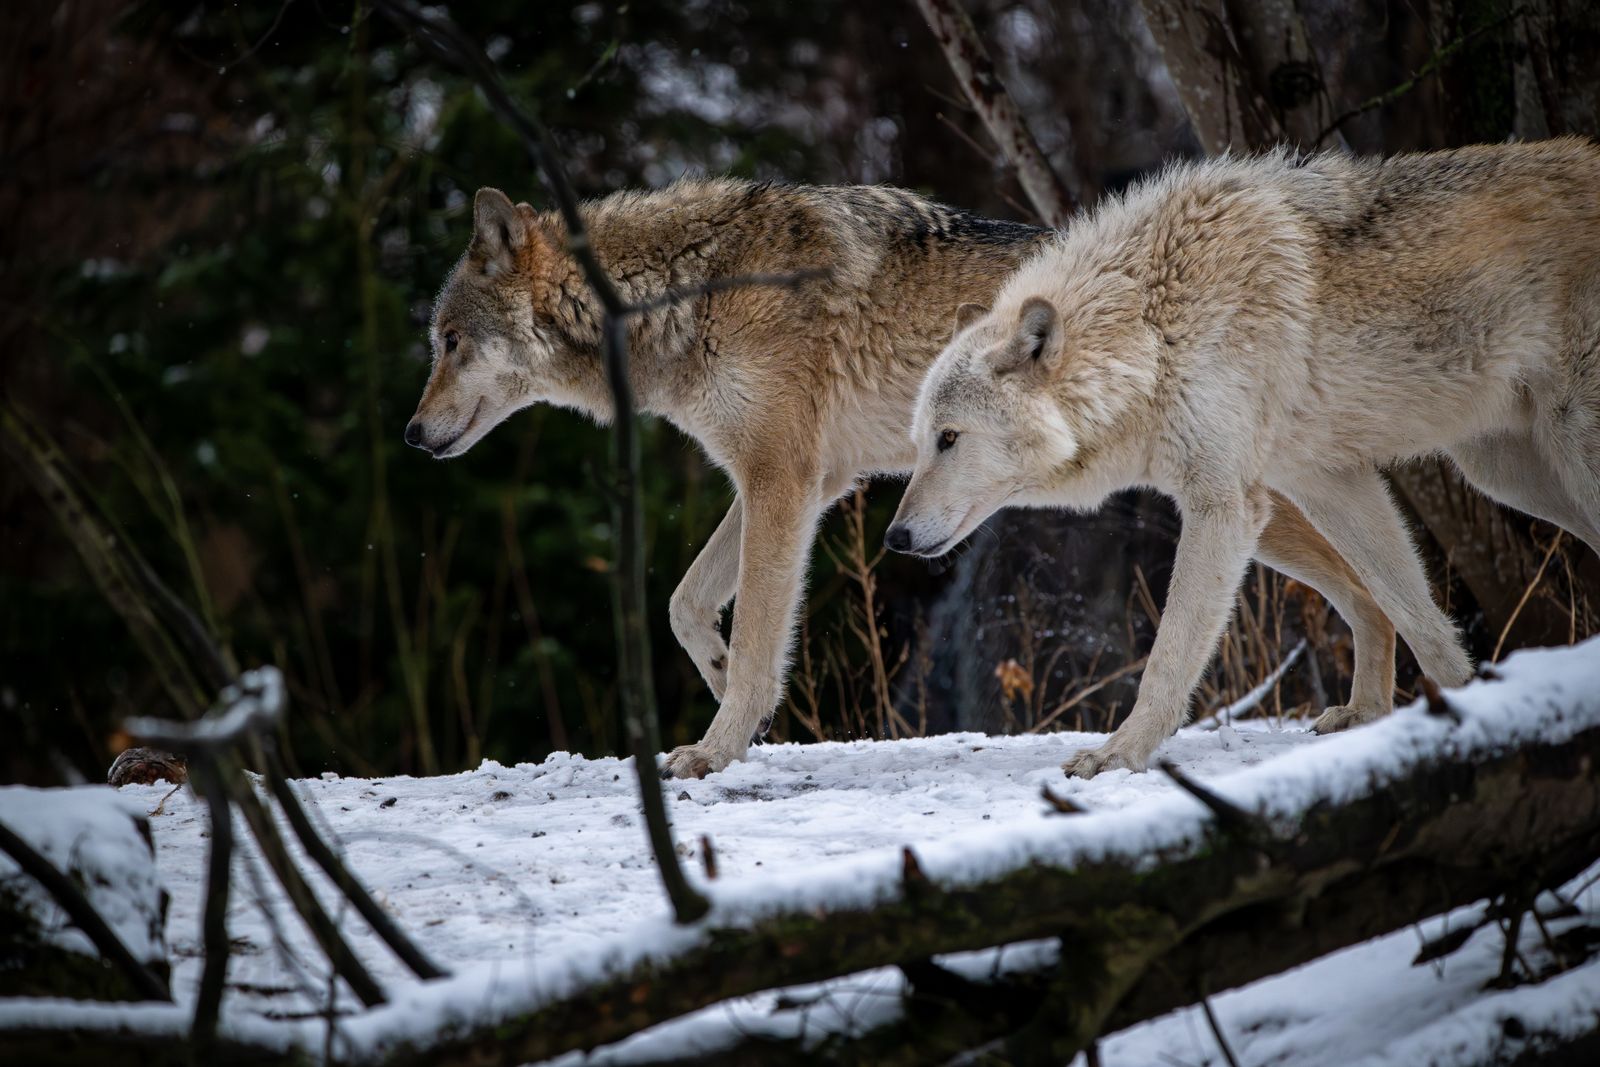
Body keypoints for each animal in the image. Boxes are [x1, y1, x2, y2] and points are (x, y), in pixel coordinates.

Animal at [407, 176, 1399, 778]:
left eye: (450, 342)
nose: (412, 436)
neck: (683, 294)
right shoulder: (807, 483)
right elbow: (687, 603)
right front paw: (721, 678)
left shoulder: (780, 478)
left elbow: (762, 633)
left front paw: (719, 745)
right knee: (1374, 591)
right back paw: (1370, 715)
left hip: (1239, 503)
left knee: (1371, 592)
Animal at [889, 138, 1600, 779]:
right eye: (919, 441)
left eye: (949, 438)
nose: (894, 537)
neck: (1153, 327)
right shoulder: (1323, 481)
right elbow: (1412, 612)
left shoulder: (1224, 505)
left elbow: (1169, 654)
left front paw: (1119, 756)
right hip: (1508, 475)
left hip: (1563, 457)